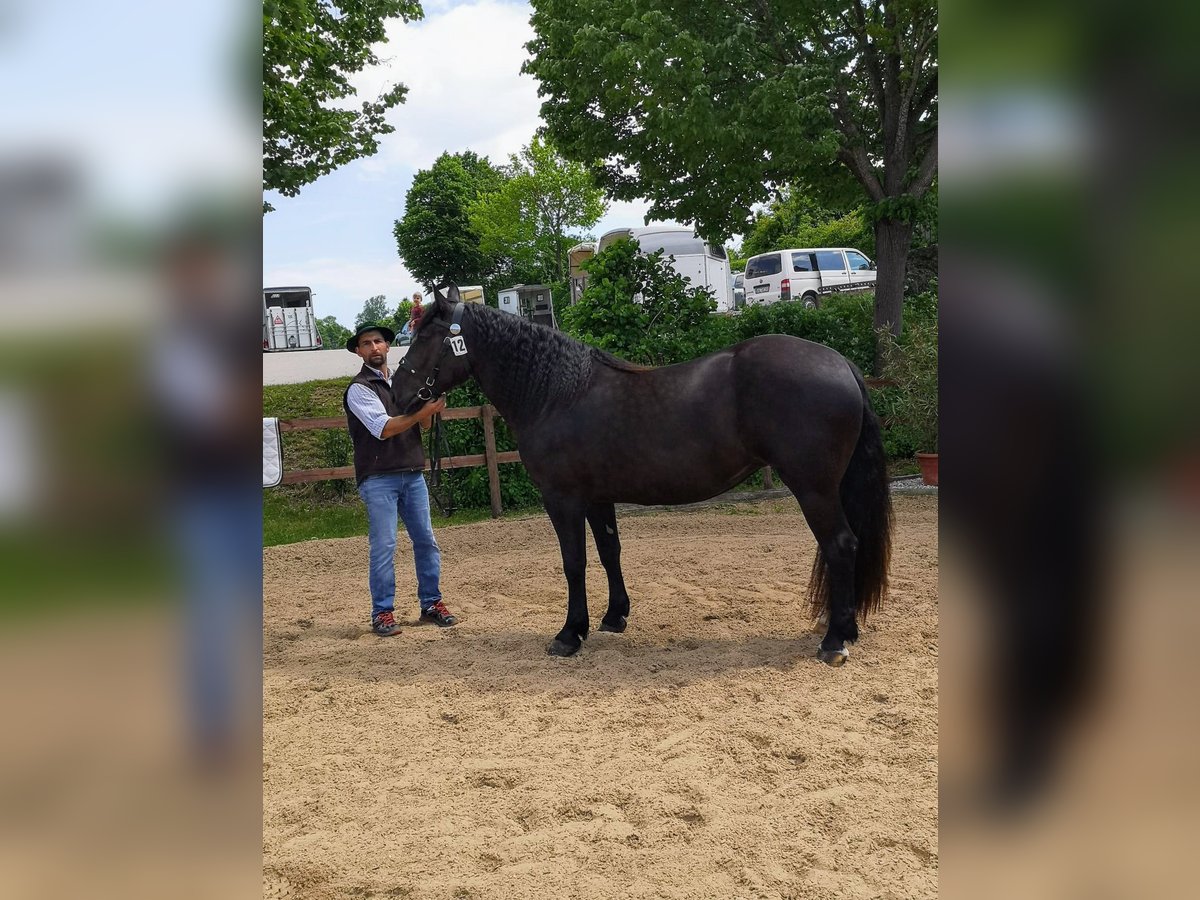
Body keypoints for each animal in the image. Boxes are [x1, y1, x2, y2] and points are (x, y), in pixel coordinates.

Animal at [393, 285, 892, 667]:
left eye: (426, 338)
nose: (396, 392)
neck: (556, 394)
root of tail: (840, 363)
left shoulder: (563, 499)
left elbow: (574, 563)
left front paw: (569, 634)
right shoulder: (598, 498)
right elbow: (609, 552)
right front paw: (614, 617)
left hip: (814, 488)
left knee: (840, 545)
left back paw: (834, 641)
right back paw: (844, 630)